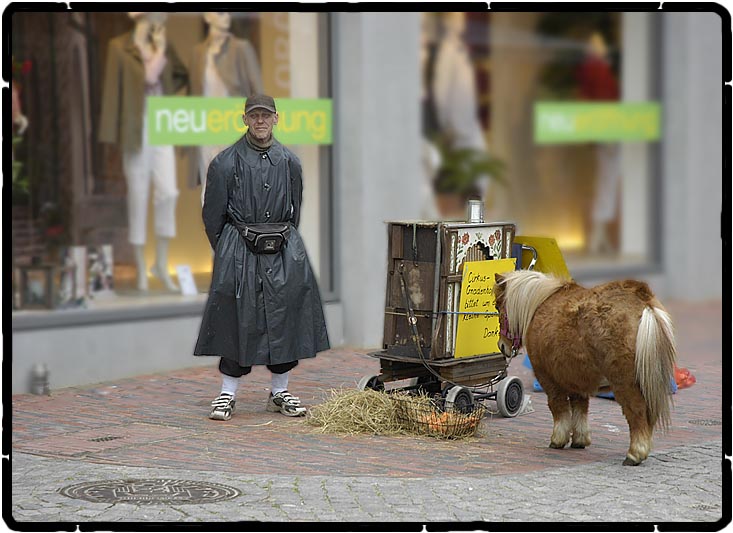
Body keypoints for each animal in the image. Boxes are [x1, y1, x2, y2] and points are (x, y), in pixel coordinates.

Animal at [492, 272, 676, 464]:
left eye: (498, 305)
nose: (502, 346)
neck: (539, 303)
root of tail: (643, 301)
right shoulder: (576, 378)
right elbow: (580, 408)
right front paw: (580, 440)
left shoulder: (548, 378)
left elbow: (558, 408)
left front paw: (558, 439)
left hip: (626, 382)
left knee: (637, 411)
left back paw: (635, 453)